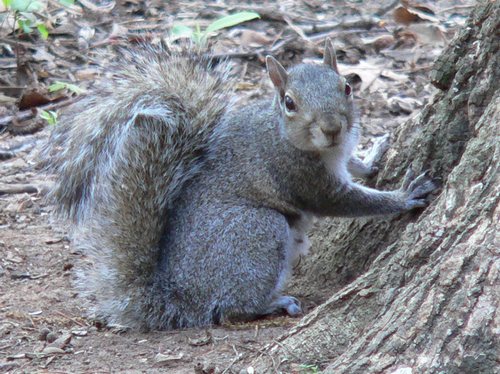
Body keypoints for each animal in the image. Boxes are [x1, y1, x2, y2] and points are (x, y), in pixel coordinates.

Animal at [42, 40, 434, 330]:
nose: (332, 127)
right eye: (289, 102)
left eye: (347, 87)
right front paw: (403, 196)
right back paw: (272, 303)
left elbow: (356, 165)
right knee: (230, 309)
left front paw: (375, 154)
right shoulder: (300, 176)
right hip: (255, 231)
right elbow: (347, 202)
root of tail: (179, 296)